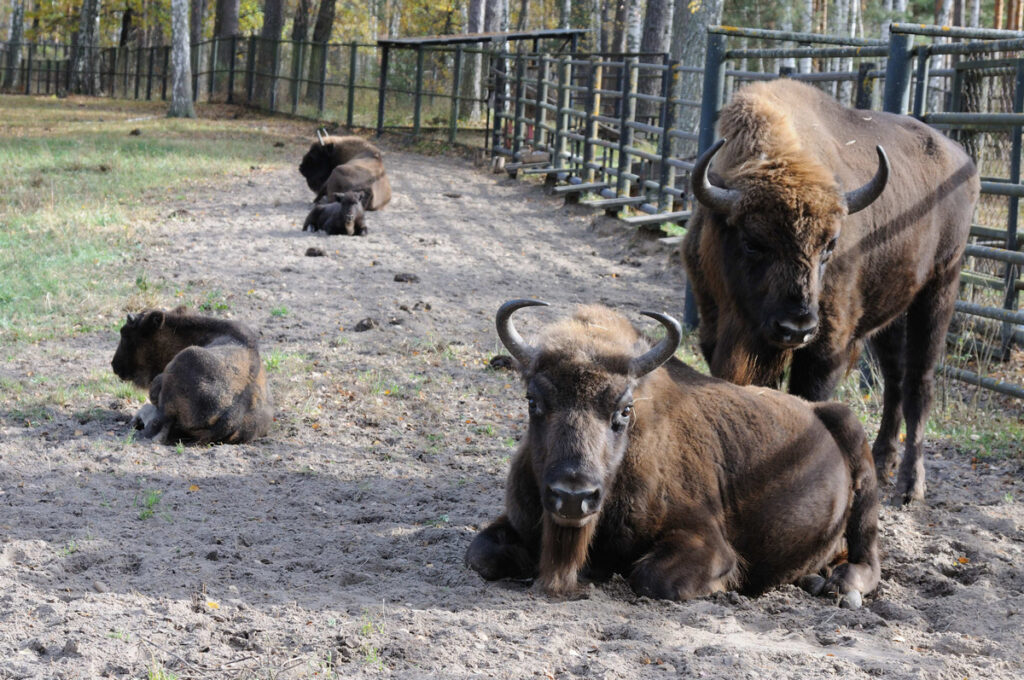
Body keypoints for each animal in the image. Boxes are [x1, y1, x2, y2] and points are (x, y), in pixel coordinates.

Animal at [468, 301, 876, 606]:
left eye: (624, 410)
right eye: (533, 401)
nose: (573, 496)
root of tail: (819, 411)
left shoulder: (707, 542)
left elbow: (652, 579)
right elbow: (482, 554)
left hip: (859, 453)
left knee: (868, 555)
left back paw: (837, 584)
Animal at [684, 79, 978, 503]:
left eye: (830, 245)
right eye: (753, 242)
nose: (797, 327)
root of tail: (963, 160)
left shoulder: (825, 352)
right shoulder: (717, 330)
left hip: (940, 287)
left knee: (919, 382)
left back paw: (910, 486)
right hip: (891, 312)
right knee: (894, 379)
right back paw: (882, 462)